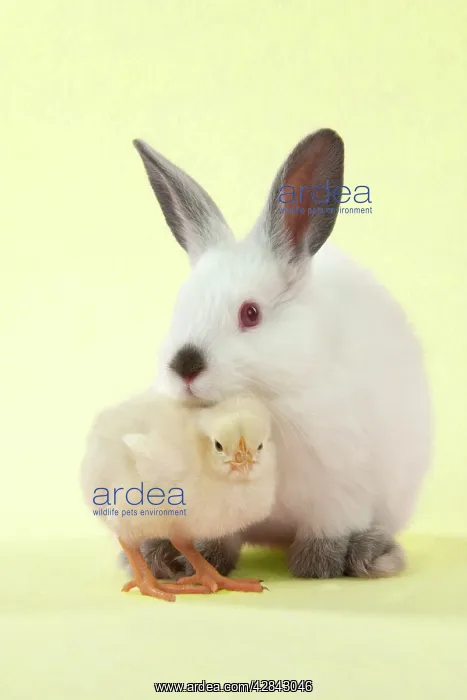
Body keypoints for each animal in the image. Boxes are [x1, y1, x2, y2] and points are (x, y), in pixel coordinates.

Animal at [128, 128, 431, 580]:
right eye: (179, 307)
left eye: (250, 313)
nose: (185, 366)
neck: (260, 402)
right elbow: (215, 538)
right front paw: (203, 561)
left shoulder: (337, 493)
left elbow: (326, 534)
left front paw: (316, 566)